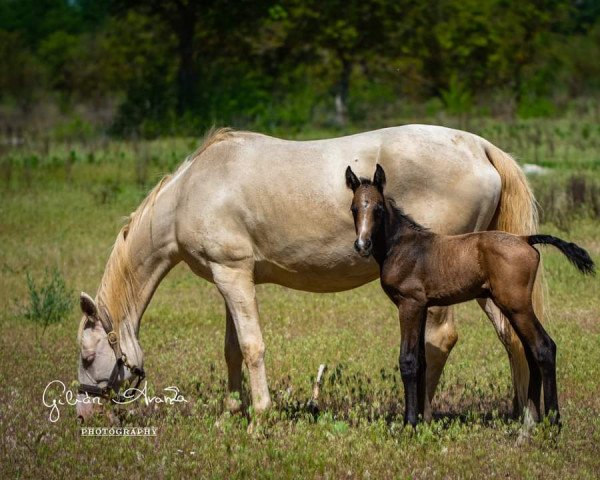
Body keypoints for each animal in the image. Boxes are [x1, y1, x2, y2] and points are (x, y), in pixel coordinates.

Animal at [346, 163, 596, 426]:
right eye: (354, 208)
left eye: (378, 208)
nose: (362, 245)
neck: (402, 246)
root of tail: (525, 239)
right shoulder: (423, 306)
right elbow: (422, 361)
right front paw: (423, 421)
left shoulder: (409, 304)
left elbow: (408, 360)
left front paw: (410, 422)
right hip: (512, 307)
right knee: (530, 351)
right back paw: (533, 419)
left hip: (517, 305)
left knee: (544, 347)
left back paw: (553, 420)